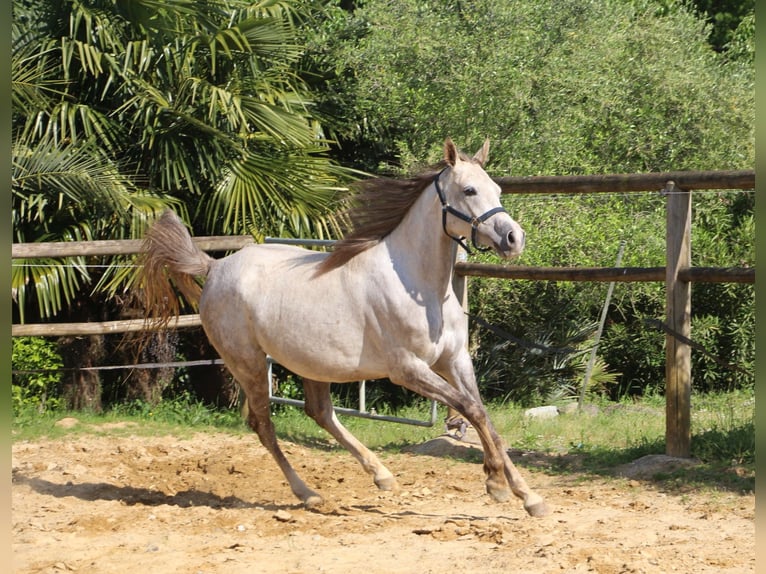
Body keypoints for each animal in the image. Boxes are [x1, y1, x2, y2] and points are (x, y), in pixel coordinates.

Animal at [140, 138, 552, 516]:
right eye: (469, 190)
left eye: (497, 189)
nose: (514, 239)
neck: (418, 285)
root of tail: (215, 267)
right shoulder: (408, 369)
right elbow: (471, 410)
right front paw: (495, 484)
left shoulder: (454, 361)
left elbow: (484, 416)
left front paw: (529, 497)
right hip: (249, 364)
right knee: (263, 423)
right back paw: (309, 494)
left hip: (311, 364)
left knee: (320, 412)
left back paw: (381, 475)